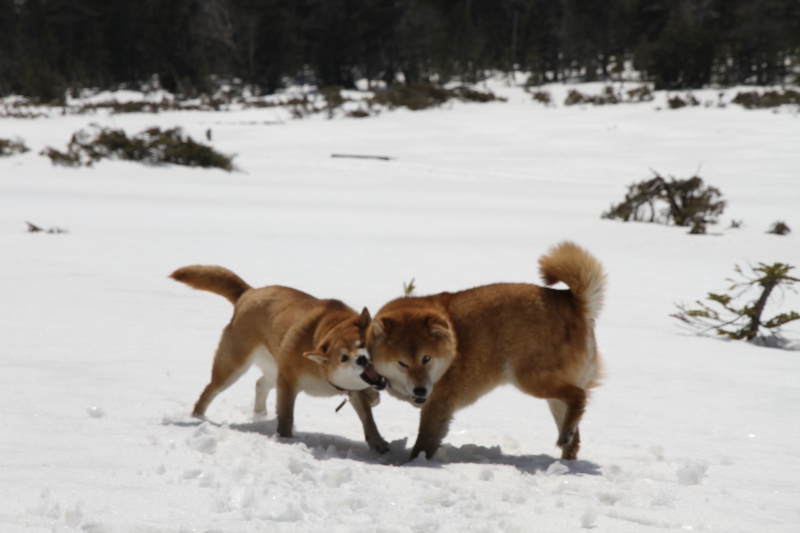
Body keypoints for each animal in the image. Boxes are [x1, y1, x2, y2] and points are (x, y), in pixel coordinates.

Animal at [173, 264, 390, 450]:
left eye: (362, 344)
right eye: (343, 358)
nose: (361, 359)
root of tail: (249, 292)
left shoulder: (353, 389)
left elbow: (368, 419)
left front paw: (378, 443)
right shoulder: (288, 381)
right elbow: (286, 417)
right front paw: (286, 440)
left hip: (272, 368)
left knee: (260, 384)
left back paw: (259, 415)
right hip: (234, 367)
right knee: (209, 391)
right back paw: (198, 418)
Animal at [364, 242, 608, 462]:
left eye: (426, 359)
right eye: (402, 363)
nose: (421, 390)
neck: (451, 350)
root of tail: (573, 302)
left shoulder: (437, 407)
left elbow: (422, 446)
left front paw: (413, 465)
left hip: (531, 379)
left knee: (579, 395)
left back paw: (565, 438)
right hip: (551, 393)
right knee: (573, 434)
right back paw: (565, 458)